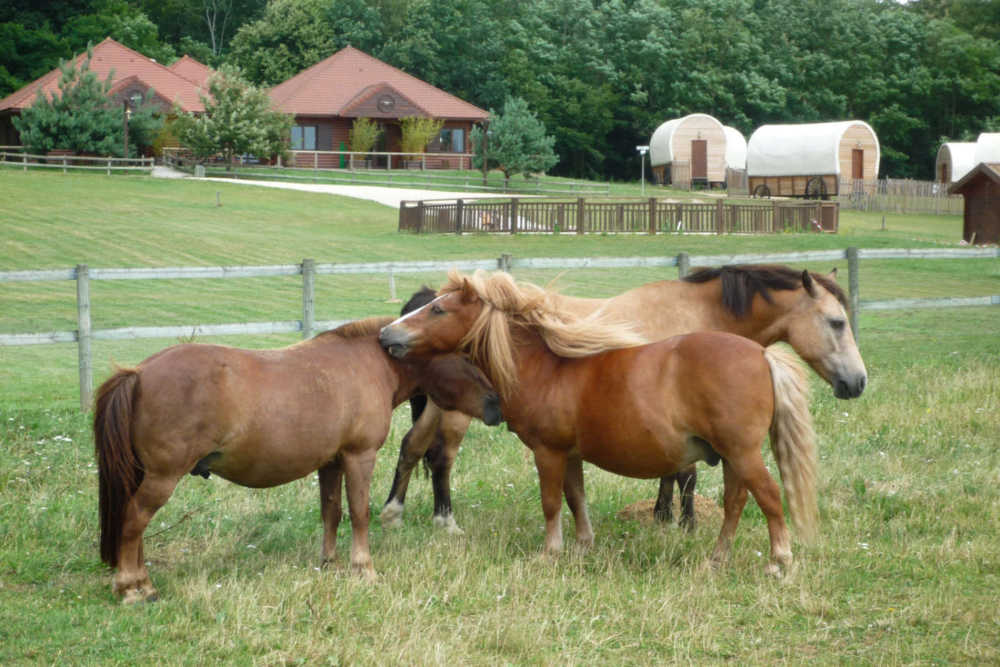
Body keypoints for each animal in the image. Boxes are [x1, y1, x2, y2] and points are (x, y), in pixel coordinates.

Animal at [92, 318, 500, 604]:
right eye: (467, 356)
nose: (497, 404)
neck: (370, 364)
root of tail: (139, 373)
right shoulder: (359, 457)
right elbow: (360, 513)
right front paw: (364, 569)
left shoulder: (332, 462)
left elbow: (332, 512)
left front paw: (331, 563)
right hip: (162, 477)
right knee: (133, 520)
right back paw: (132, 589)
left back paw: (143, 584)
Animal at [378, 272, 816, 576]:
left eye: (438, 310)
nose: (385, 334)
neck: (547, 367)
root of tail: (762, 355)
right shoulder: (570, 454)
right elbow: (576, 499)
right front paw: (583, 545)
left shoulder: (549, 453)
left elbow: (552, 503)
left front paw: (550, 552)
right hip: (731, 458)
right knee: (735, 503)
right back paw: (717, 559)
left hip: (742, 454)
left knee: (769, 497)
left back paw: (779, 561)